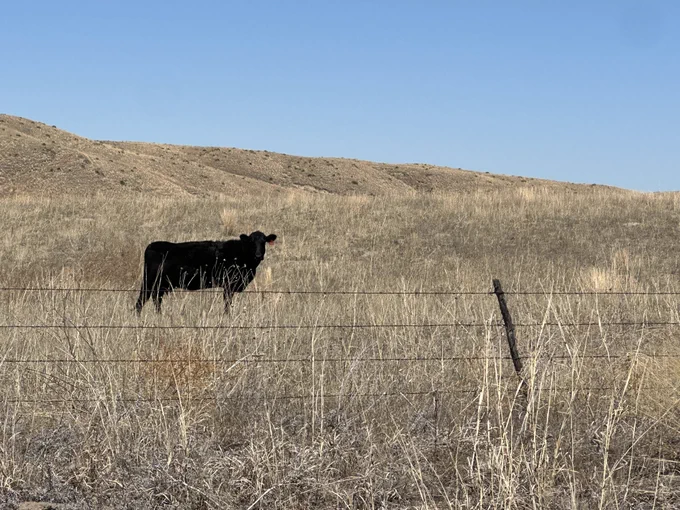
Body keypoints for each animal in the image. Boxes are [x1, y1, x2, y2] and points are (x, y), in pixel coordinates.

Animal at [135, 231, 277, 314]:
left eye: (264, 242)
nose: (258, 255)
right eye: (251, 242)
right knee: (141, 301)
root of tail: (152, 245)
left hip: (161, 285)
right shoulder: (228, 284)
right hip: (149, 282)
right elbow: (227, 303)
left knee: (156, 299)